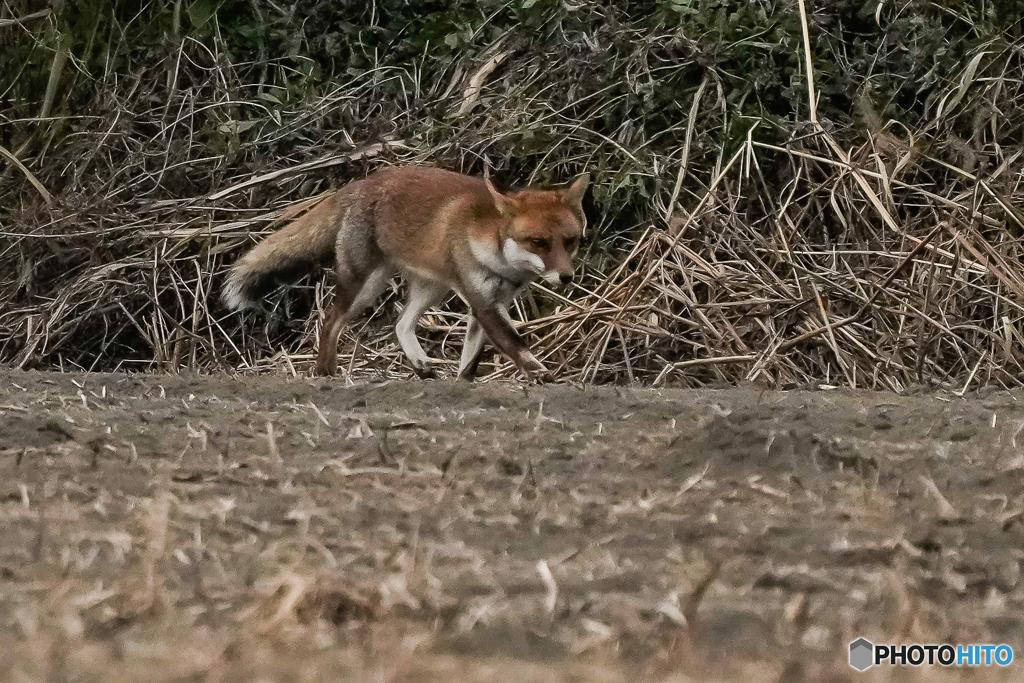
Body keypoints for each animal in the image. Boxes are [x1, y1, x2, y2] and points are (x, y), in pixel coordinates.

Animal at [227, 165, 589, 378]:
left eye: (570, 241)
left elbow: (471, 360)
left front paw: (463, 384)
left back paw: (420, 366)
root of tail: (362, 182)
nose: (566, 277)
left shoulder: (488, 304)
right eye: (538, 242)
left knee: (400, 324)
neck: (497, 259)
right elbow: (516, 345)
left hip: (431, 290)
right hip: (364, 287)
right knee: (329, 322)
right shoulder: (483, 302)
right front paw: (539, 372)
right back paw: (325, 372)